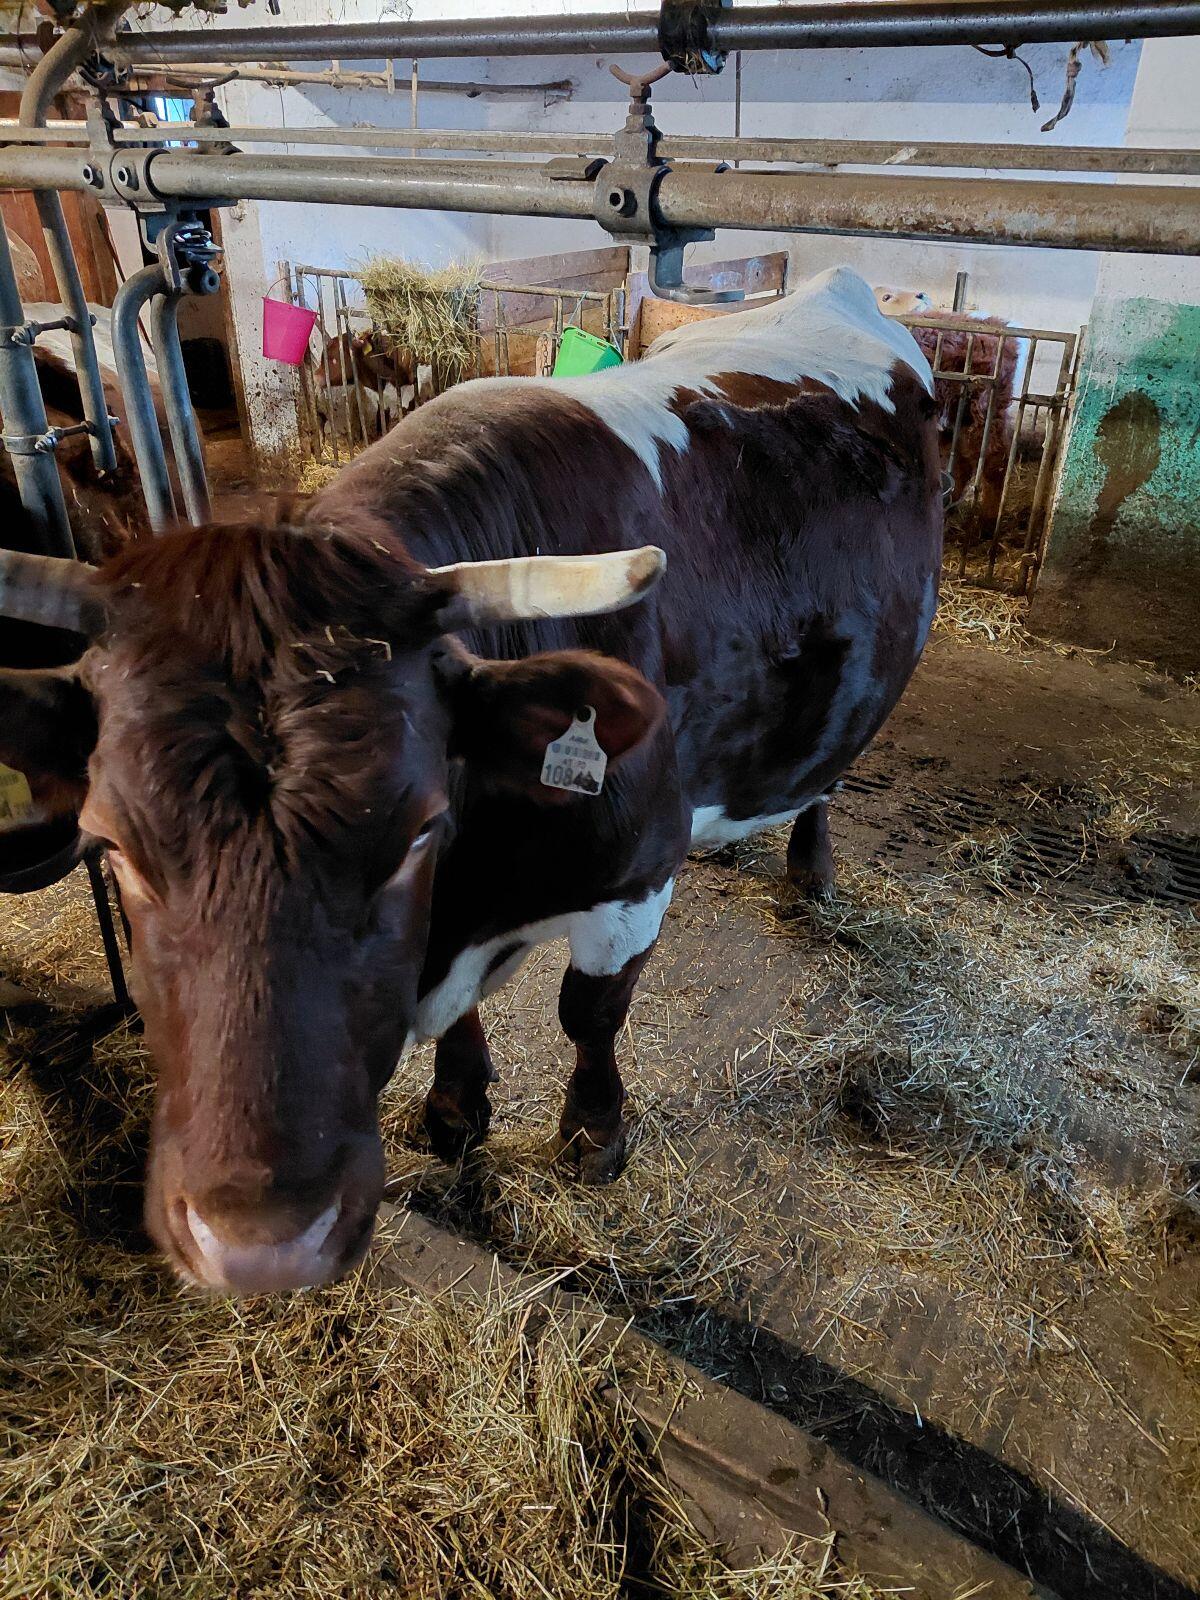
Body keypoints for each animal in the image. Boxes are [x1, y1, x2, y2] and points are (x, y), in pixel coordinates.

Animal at [0, 266, 941, 1296]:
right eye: (109, 845)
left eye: (419, 826)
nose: (261, 1244)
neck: (476, 901)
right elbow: (464, 1030)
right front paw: (455, 1105)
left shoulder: (638, 871)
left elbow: (590, 1013)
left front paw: (594, 1134)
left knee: (827, 778)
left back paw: (811, 870)